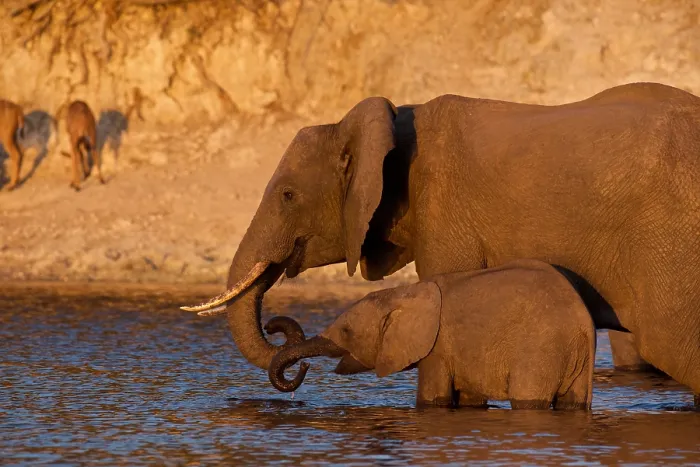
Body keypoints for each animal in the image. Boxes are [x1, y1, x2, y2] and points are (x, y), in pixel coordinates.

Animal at [267, 260, 596, 410]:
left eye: (347, 332)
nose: (304, 365)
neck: (402, 292)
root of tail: (583, 322)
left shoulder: (437, 347)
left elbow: (431, 399)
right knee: (573, 402)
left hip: (540, 351)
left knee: (528, 399)